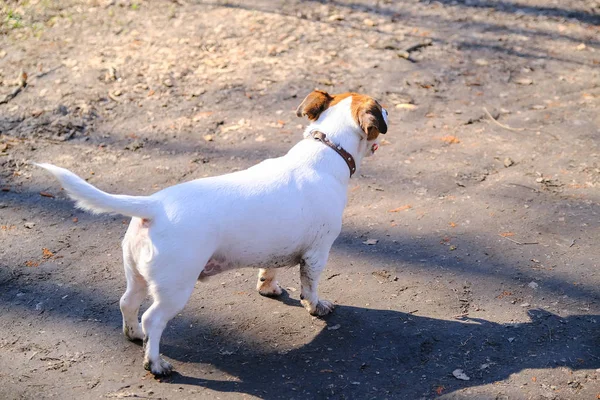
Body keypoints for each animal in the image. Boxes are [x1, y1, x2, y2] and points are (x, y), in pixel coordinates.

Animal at [36, 90, 390, 376]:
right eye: (381, 108)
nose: (388, 111)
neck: (328, 147)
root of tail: (154, 205)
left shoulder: (275, 245)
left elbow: (269, 270)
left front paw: (268, 288)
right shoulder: (318, 253)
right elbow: (310, 288)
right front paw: (317, 307)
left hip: (137, 277)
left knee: (127, 304)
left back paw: (135, 335)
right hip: (175, 289)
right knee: (153, 319)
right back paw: (156, 363)